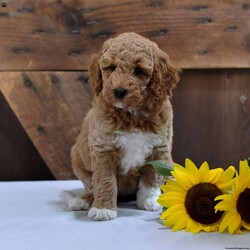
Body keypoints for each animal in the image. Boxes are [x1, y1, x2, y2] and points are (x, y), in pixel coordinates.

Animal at [69, 31, 181, 221]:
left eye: (139, 70)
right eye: (111, 67)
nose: (119, 91)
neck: (130, 114)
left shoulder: (159, 149)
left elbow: (152, 177)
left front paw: (150, 201)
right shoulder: (103, 148)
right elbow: (104, 180)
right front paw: (103, 208)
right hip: (79, 164)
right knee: (91, 186)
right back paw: (83, 200)